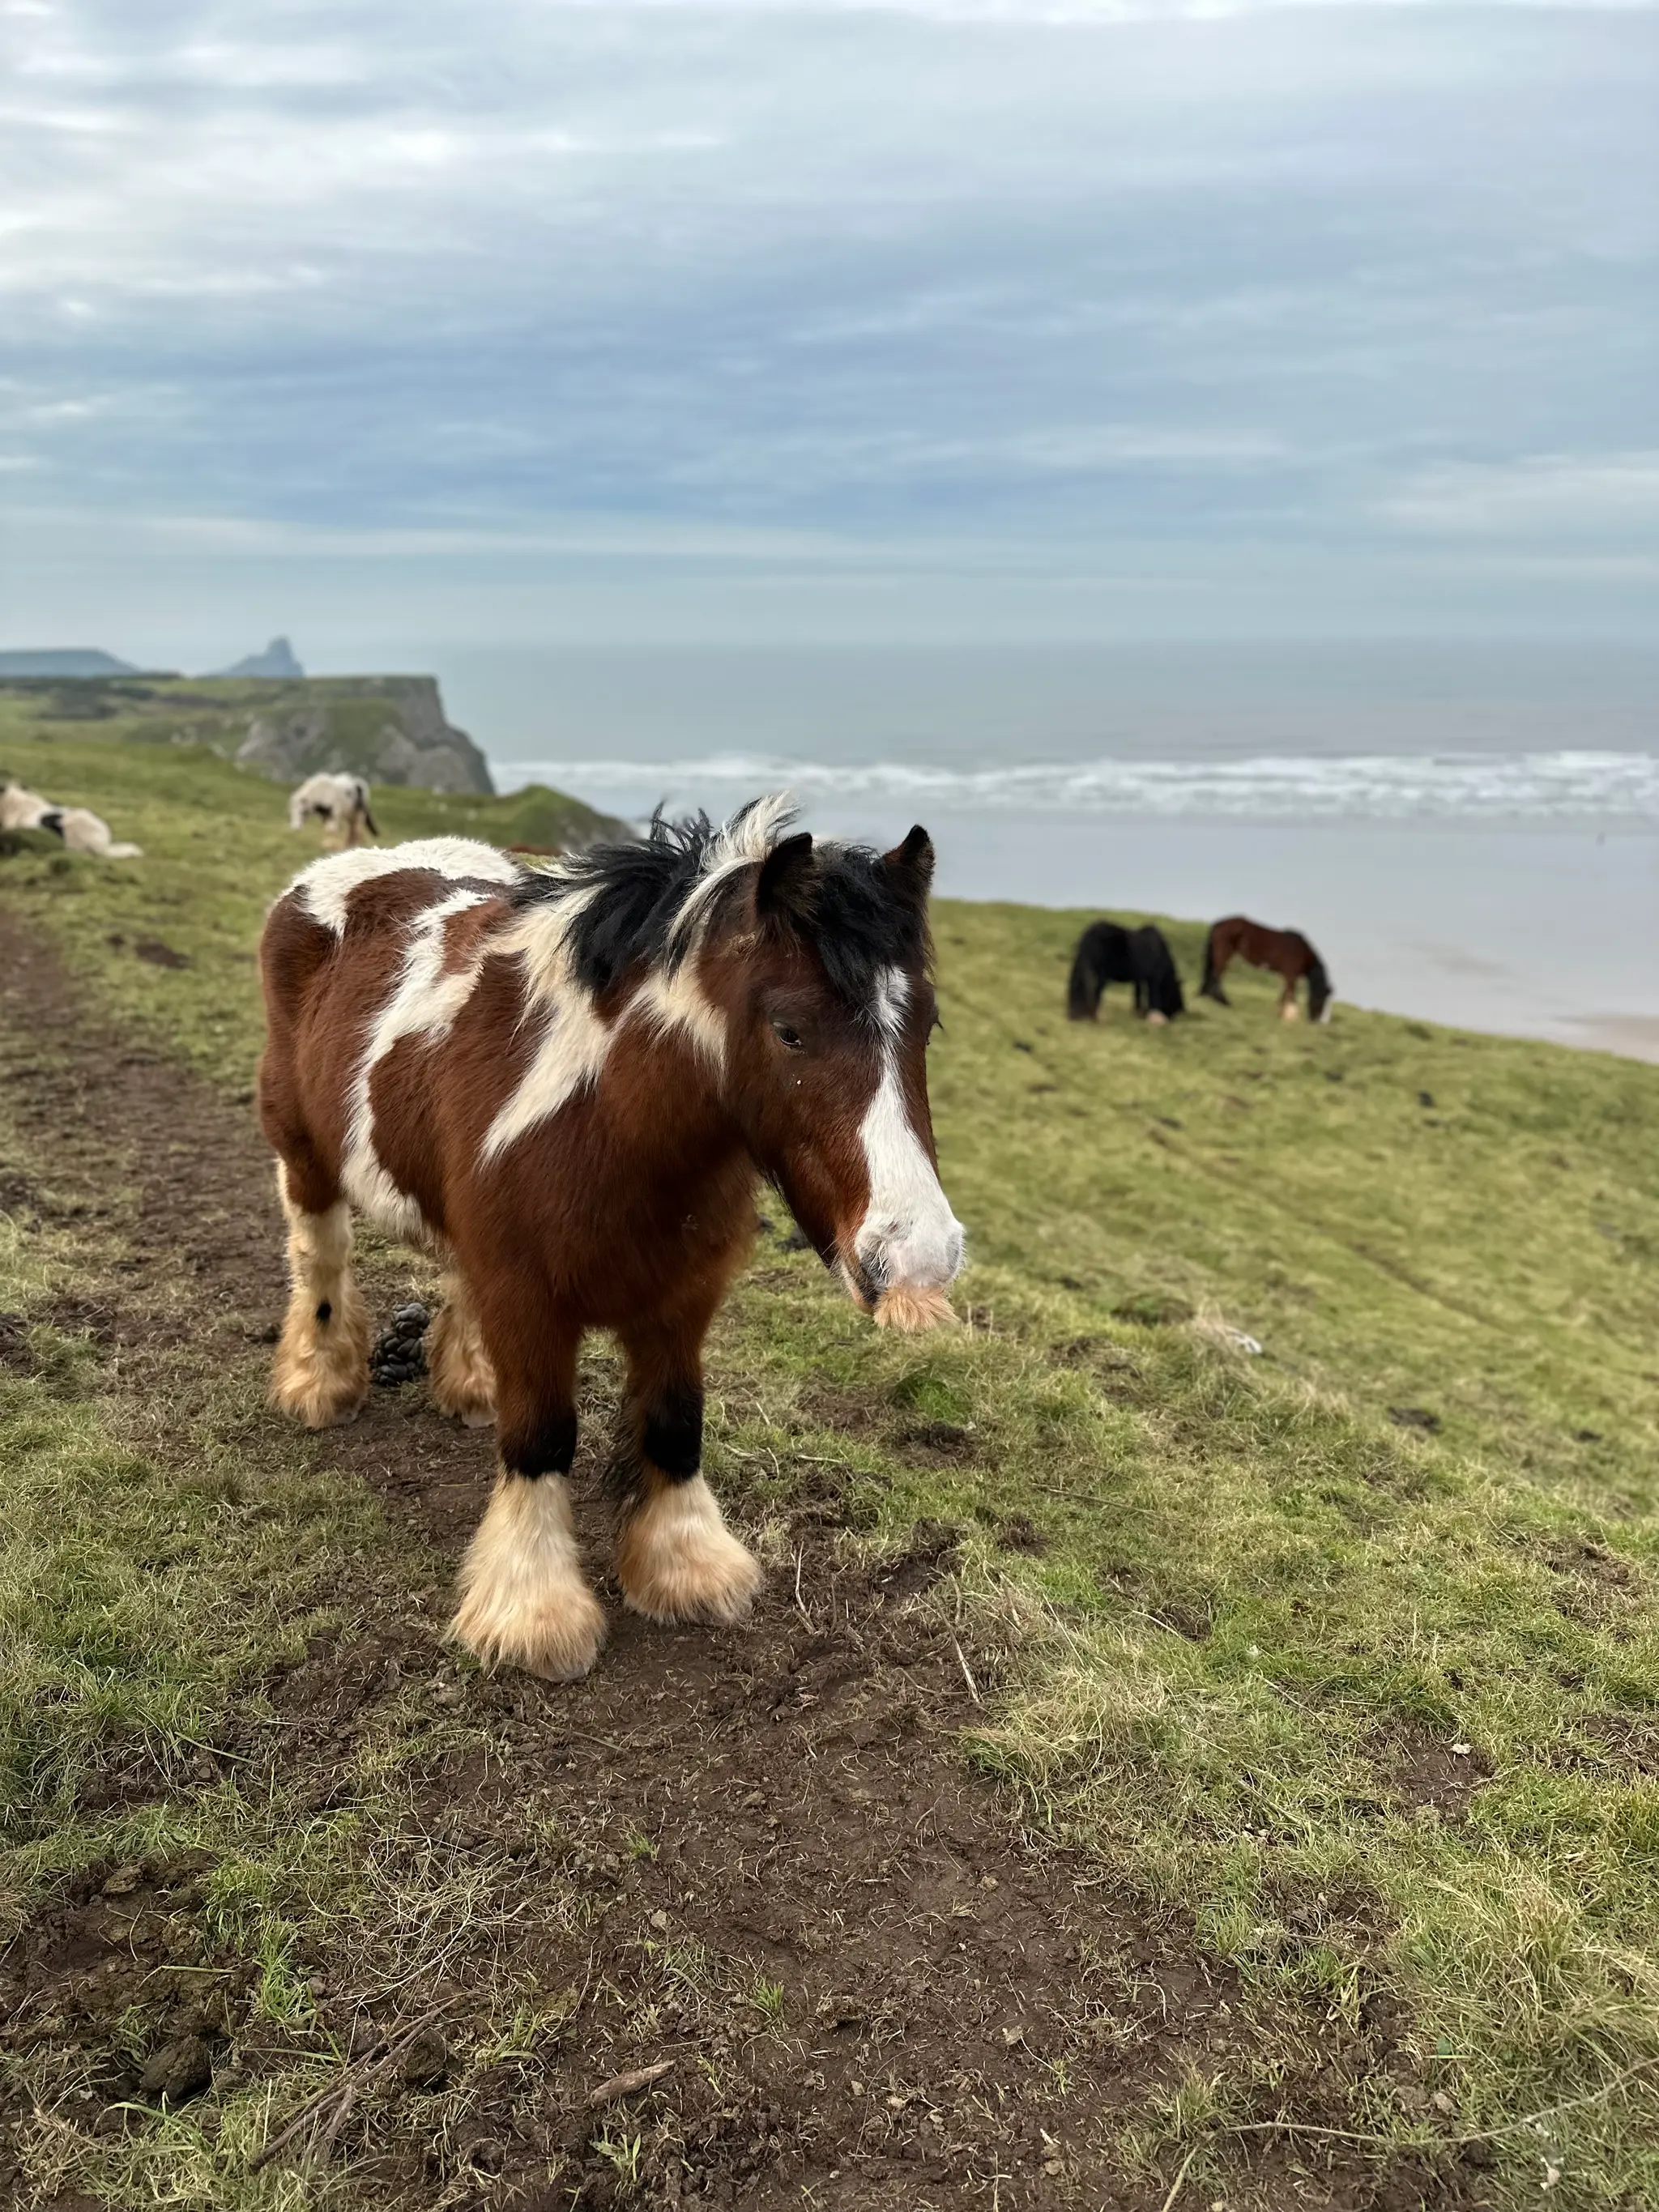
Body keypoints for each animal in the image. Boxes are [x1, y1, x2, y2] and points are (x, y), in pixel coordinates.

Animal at [257, 796, 964, 1681]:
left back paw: (469, 1382)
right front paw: (534, 1611)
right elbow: (542, 1435)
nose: (919, 1254)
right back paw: (319, 1382)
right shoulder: (527, 1299)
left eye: (926, 1024)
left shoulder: (681, 1298)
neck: (604, 1123)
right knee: (319, 1259)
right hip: (301, 1149)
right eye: (789, 1029)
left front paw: (685, 1566)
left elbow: (674, 1421)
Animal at [1067, 920, 1185, 1024]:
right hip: (1100, 973)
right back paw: (1092, 1018)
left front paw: (1138, 1014)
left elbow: (1138, 995)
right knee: (1096, 992)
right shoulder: (1153, 979)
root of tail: (1088, 935)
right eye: (1176, 994)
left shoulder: (1139, 979)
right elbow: (1152, 996)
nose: (1173, 1016)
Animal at [1200, 915, 1332, 1022]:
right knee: (1217, 975)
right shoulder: (1291, 975)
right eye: (1321, 999)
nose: (1315, 1020)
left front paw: (1282, 1015)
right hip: (1224, 953)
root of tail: (1219, 924)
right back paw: (1223, 1002)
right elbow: (1290, 994)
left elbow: (1283, 994)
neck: (1302, 951)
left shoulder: (1286, 975)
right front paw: (1292, 1017)